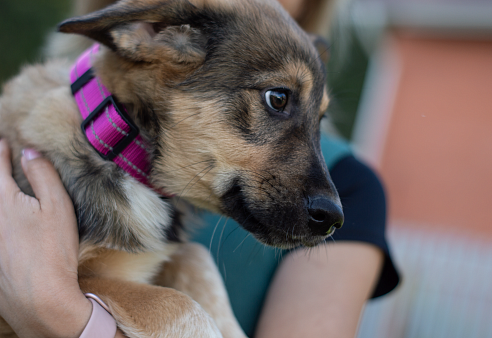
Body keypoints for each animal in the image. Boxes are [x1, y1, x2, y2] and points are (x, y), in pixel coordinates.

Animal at [0, 0, 344, 336]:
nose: (333, 219)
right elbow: (183, 307)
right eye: (278, 98)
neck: (117, 144)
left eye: (322, 119)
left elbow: (197, 258)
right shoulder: (84, 276)